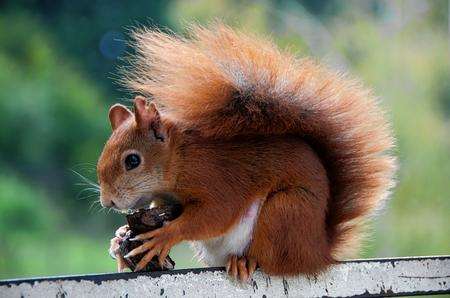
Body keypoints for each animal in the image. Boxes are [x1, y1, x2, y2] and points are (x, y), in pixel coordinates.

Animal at [96, 23, 396, 282]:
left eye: (132, 160)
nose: (107, 201)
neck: (180, 159)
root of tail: (319, 252)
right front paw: (120, 236)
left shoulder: (216, 179)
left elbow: (215, 215)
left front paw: (164, 237)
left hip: (285, 211)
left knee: (272, 260)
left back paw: (245, 261)